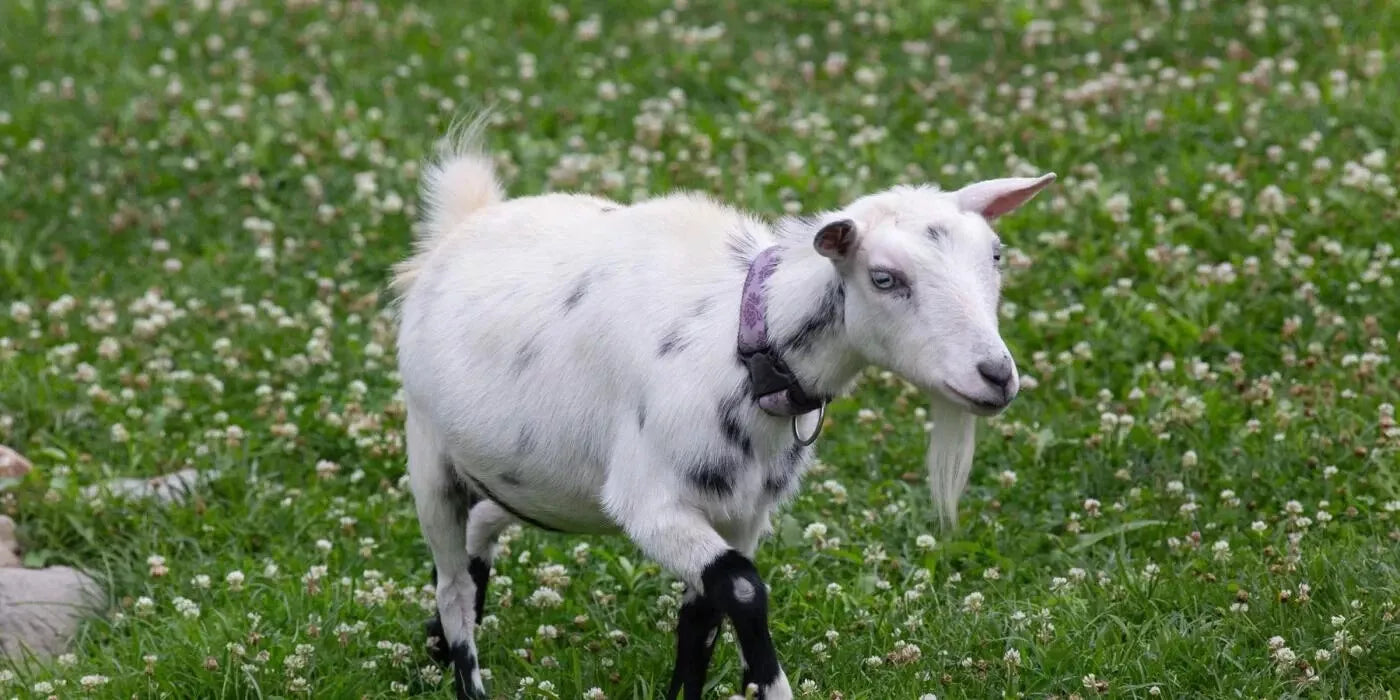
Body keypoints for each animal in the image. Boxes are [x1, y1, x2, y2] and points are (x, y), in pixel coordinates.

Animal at [391, 115, 1055, 700]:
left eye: (996, 256)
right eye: (885, 278)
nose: (996, 377)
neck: (741, 343)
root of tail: (461, 224)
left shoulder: (741, 510)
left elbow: (703, 619)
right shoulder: (651, 504)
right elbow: (741, 589)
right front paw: (774, 686)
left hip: (530, 479)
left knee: (481, 532)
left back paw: (433, 648)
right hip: (429, 457)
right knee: (453, 585)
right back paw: (464, 673)